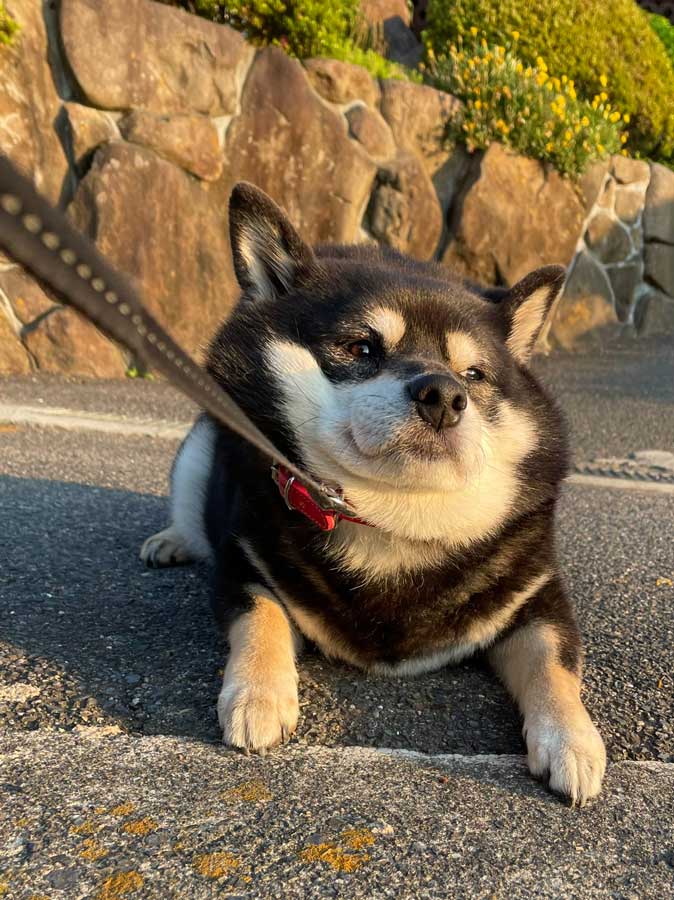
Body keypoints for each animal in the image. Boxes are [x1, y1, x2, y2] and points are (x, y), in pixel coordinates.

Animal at [140, 181, 604, 800]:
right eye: (362, 349)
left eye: (475, 375)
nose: (444, 395)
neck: (391, 519)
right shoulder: (244, 564)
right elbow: (261, 616)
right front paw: (258, 695)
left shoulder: (535, 599)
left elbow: (556, 662)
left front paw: (572, 740)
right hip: (199, 450)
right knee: (192, 513)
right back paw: (171, 541)